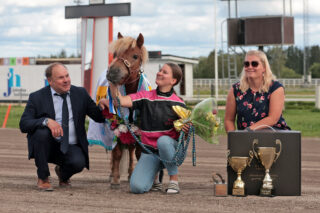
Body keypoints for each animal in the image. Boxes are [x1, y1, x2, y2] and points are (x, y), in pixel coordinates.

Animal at [106, 31, 149, 188]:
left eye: (135, 56)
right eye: (115, 53)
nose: (112, 73)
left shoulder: (138, 125)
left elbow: (137, 152)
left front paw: (134, 175)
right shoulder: (116, 122)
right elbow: (117, 152)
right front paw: (115, 179)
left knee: (130, 150)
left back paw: (130, 173)